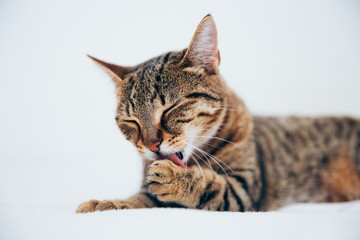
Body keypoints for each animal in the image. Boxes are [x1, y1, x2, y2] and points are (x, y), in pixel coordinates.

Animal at [76, 14, 360, 212]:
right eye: (131, 121)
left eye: (170, 108)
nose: (151, 144)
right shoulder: (148, 192)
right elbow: (138, 199)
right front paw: (106, 204)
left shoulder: (245, 190)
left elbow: (211, 186)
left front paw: (176, 178)